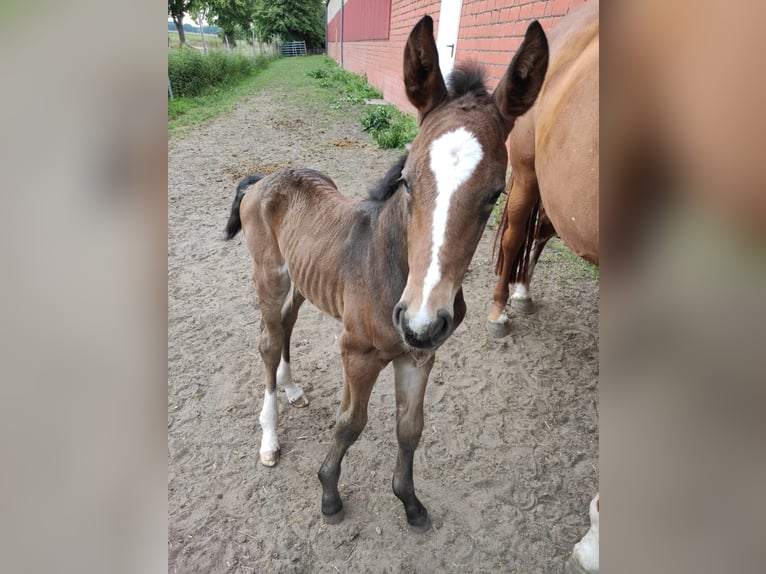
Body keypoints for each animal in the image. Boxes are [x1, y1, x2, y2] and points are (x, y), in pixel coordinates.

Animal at [225, 16, 548, 532]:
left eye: (495, 194)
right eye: (408, 180)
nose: (420, 321)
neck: (394, 266)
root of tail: (265, 178)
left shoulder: (420, 356)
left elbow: (410, 428)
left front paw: (410, 502)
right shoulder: (357, 353)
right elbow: (351, 424)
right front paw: (329, 494)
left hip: (301, 282)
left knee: (289, 326)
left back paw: (293, 389)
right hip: (269, 277)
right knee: (268, 342)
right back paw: (269, 439)